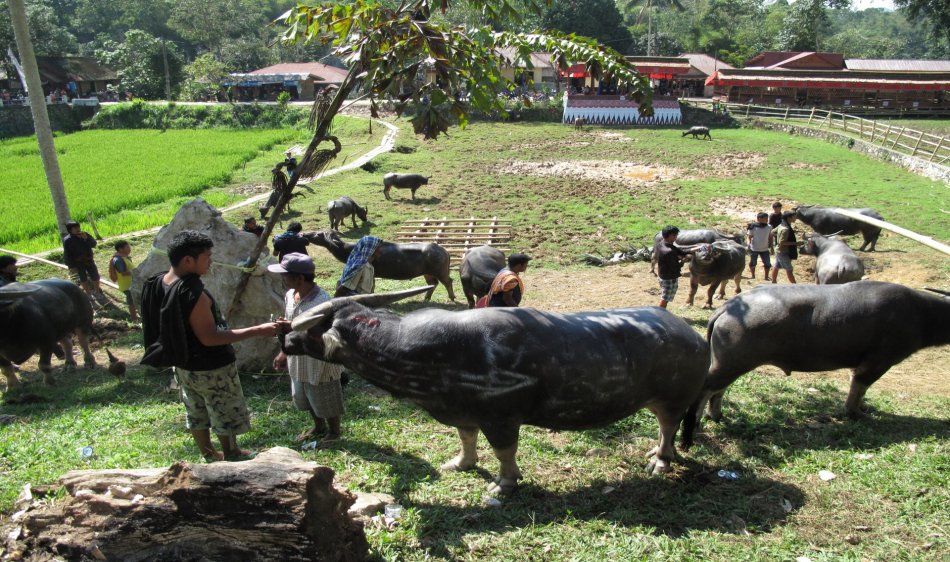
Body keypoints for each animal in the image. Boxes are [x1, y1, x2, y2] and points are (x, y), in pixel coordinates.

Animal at [286, 286, 712, 492]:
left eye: (315, 328)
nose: (286, 339)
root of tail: (694, 335)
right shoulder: (464, 411)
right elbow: (466, 439)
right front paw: (461, 463)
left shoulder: (501, 418)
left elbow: (504, 453)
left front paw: (504, 485)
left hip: (673, 399)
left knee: (669, 426)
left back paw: (661, 461)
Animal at [304, 229, 456, 302]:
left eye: (318, 234)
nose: (305, 234)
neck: (351, 248)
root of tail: (444, 250)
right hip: (428, 273)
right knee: (433, 284)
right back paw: (426, 298)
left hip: (441, 272)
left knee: (448, 282)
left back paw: (452, 297)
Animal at [684, 280, 950, 446]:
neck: (923, 312)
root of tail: (727, 308)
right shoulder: (879, 361)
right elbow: (860, 386)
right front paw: (855, 413)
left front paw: (863, 408)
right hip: (729, 365)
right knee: (706, 389)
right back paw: (696, 423)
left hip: (732, 364)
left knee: (718, 390)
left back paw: (717, 415)